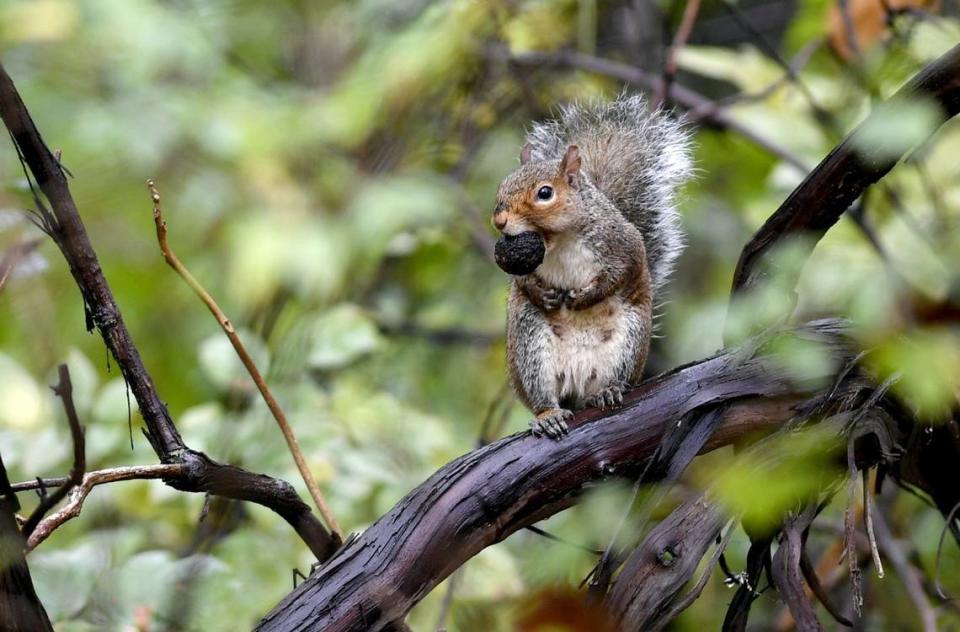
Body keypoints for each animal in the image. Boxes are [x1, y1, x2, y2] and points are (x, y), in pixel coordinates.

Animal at [496, 94, 688, 440]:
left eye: (545, 193)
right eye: (502, 186)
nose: (499, 220)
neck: (558, 240)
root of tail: (577, 379)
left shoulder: (622, 243)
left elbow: (620, 272)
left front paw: (585, 297)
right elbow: (522, 282)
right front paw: (543, 294)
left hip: (629, 342)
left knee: (611, 381)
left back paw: (608, 391)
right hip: (531, 346)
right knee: (542, 394)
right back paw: (548, 415)